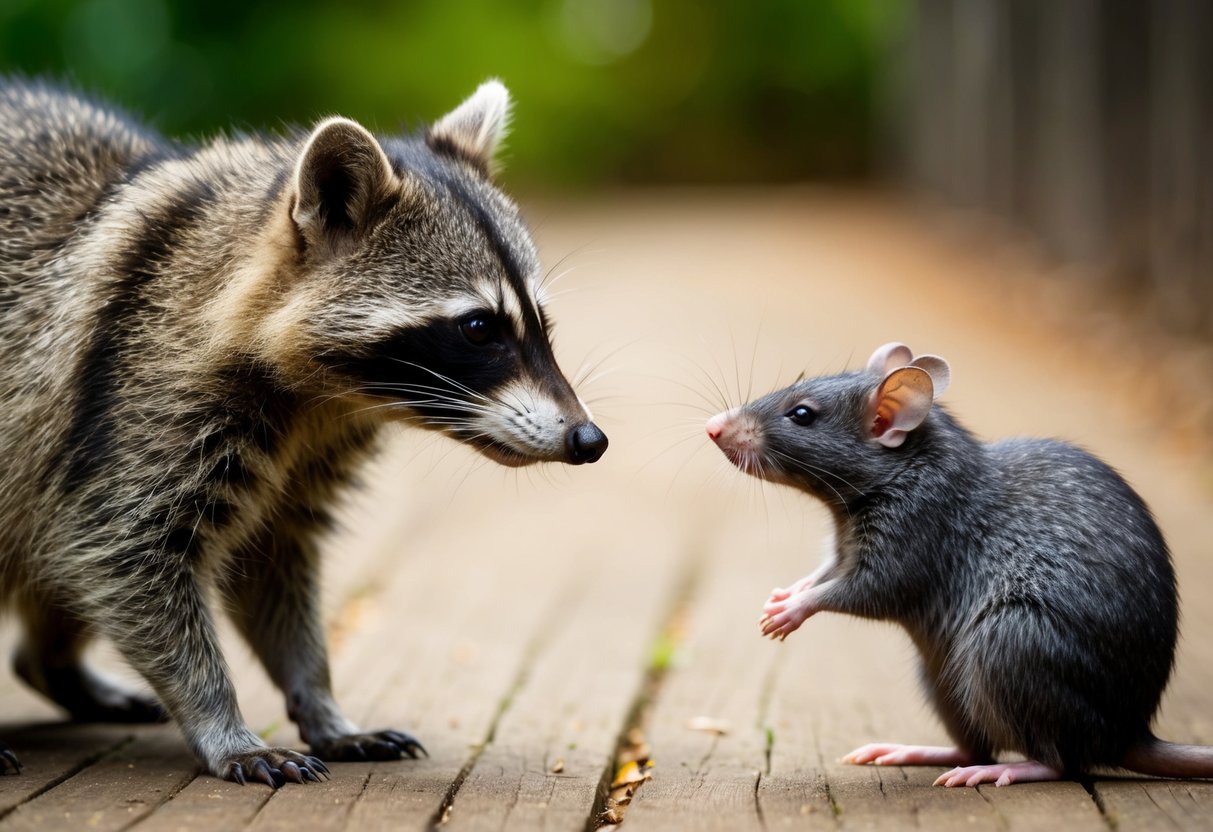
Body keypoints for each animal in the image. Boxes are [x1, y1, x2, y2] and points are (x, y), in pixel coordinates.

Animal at [0, 78, 607, 787]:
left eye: (542, 323)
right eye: (479, 327)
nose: (589, 440)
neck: (325, 400)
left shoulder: (301, 461)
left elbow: (271, 563)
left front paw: (321, 702)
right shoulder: (137, 402)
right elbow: (122, 551)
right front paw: (220, 719)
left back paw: (54, 665)